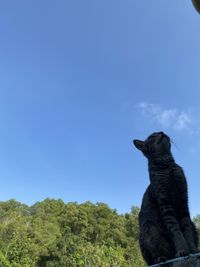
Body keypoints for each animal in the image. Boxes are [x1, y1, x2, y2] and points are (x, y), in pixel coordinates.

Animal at [134, 132, 198, 266]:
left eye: (158, 132)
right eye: (151, 137)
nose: (161, 132)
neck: (169, 167)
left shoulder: (184, 202)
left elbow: (187, 231)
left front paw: (193, 250)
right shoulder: (165, 203)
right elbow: (175, 230)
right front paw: (182, 250)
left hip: (193, 224)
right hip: (149, 230)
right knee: (154, 258)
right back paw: (162, 258)